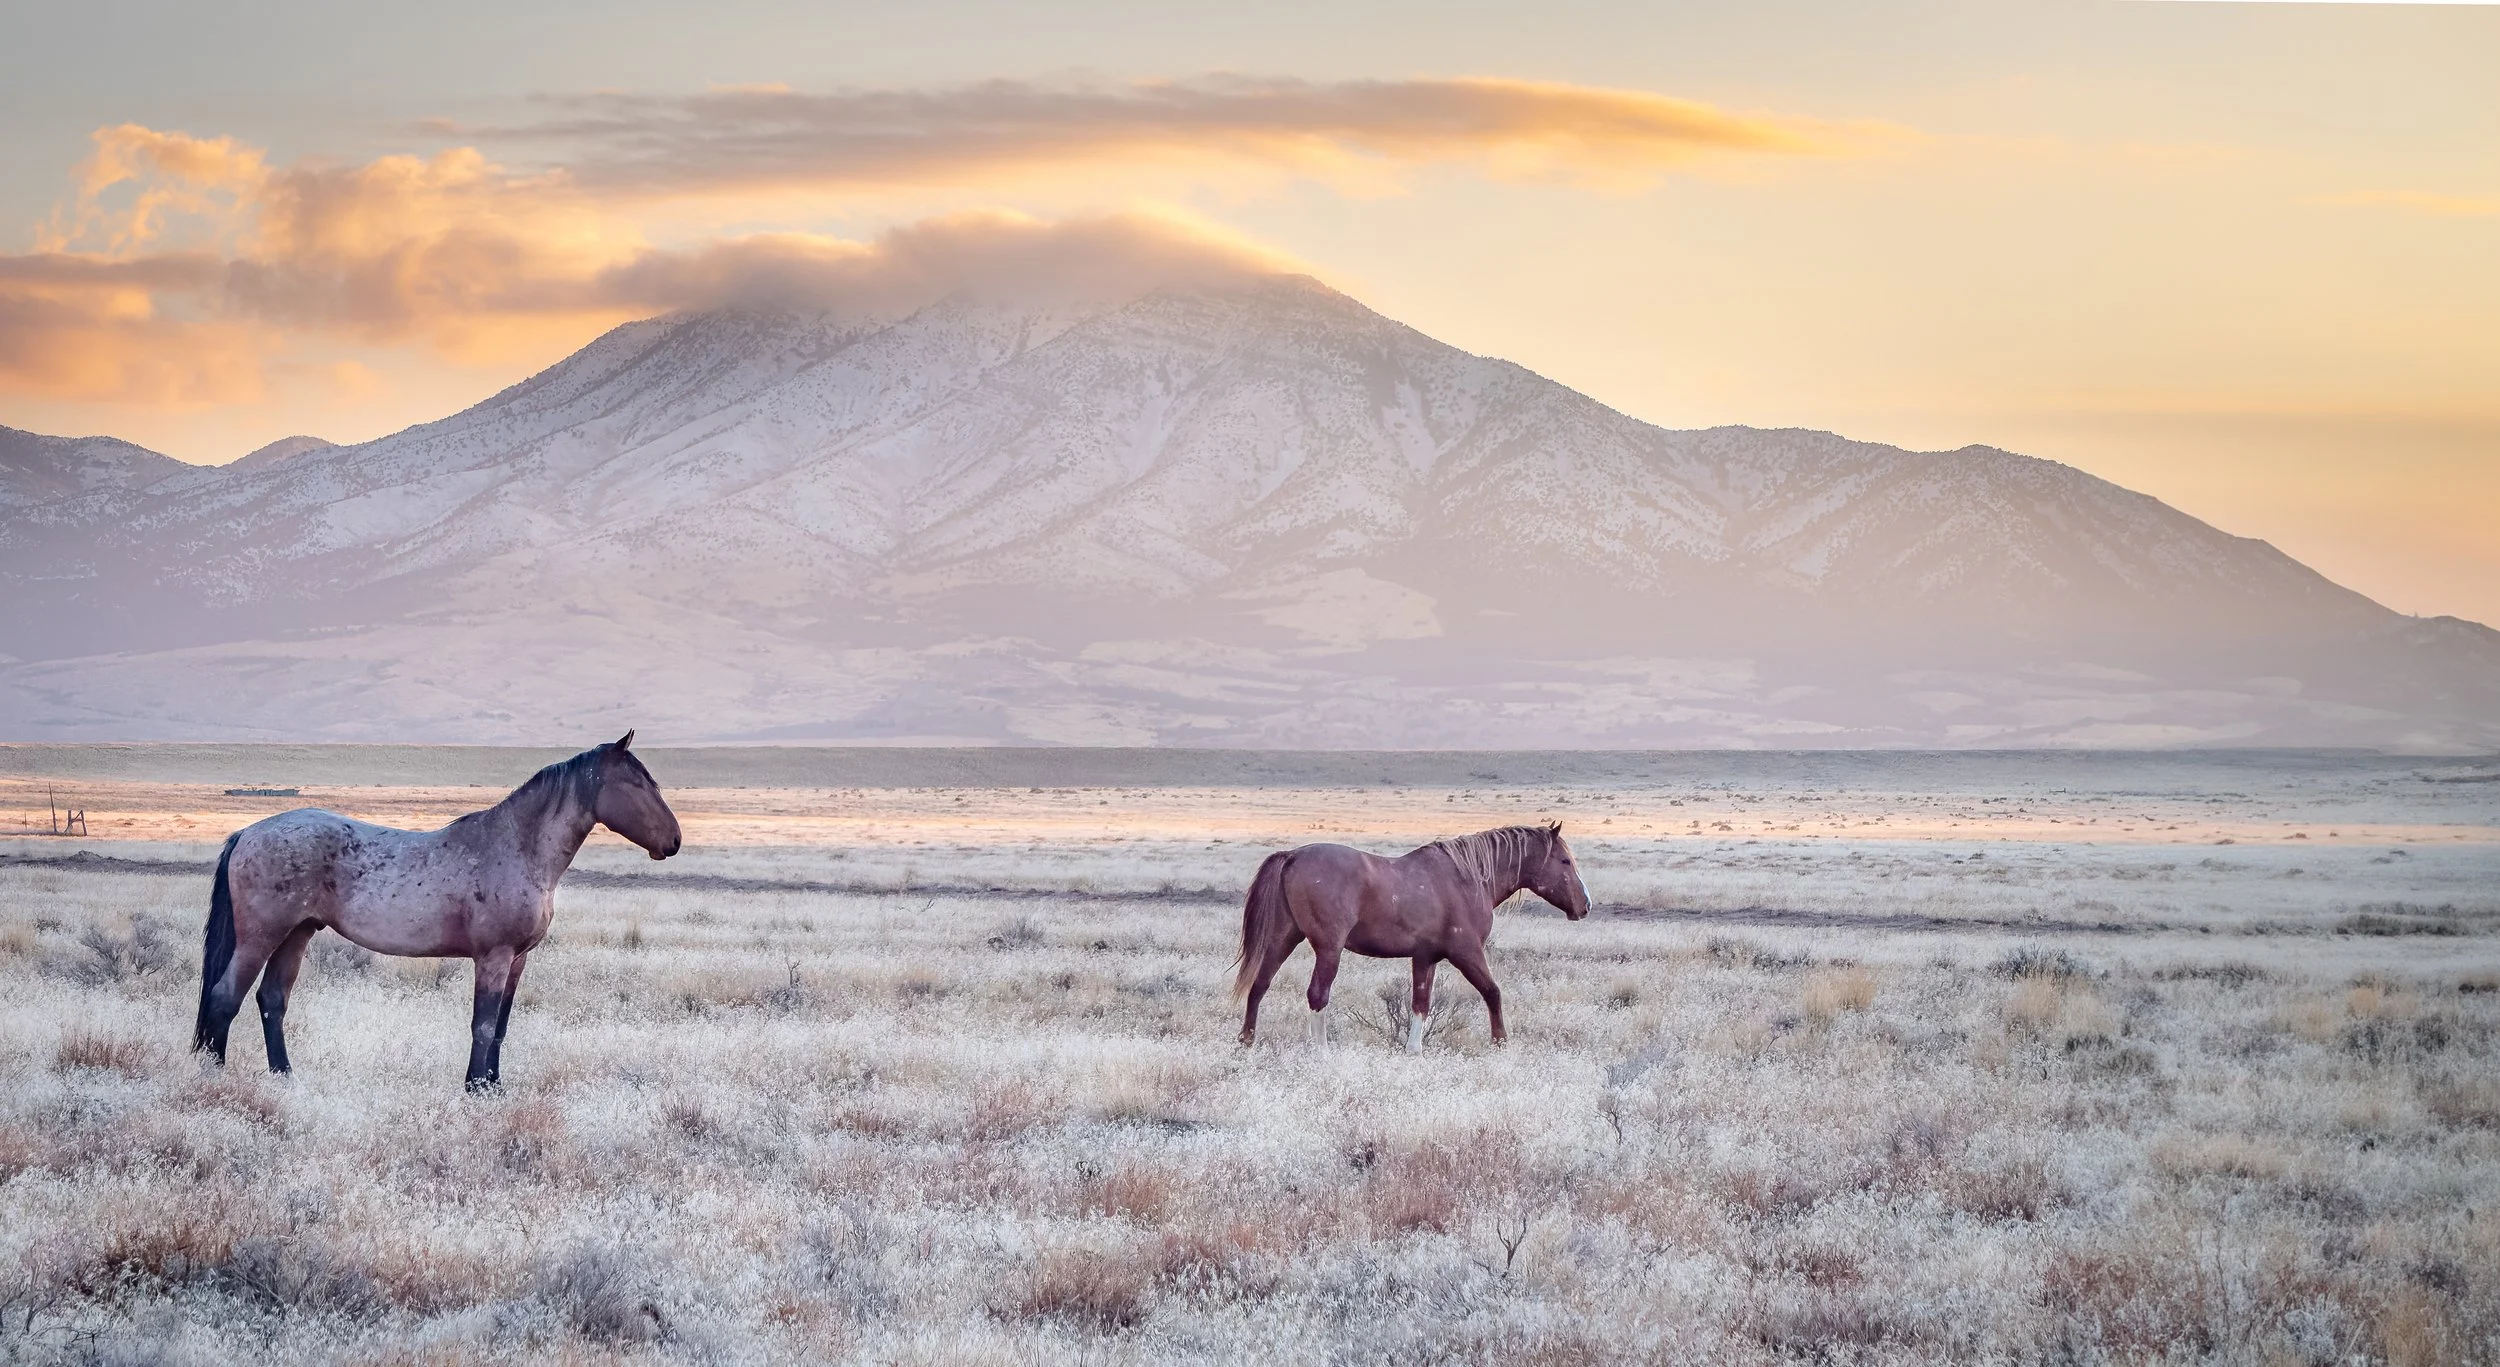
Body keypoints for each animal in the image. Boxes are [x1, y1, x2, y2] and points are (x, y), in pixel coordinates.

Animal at [192, 732, 681, 1090]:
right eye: (638, 783)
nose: (674, 841)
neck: (518, 847)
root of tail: (248, 832)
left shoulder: (518, 960)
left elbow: (500, 1026)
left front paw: (493, 1086)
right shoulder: (494, 957)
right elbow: (483, 1024)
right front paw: (475, 1089)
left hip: (297, 933)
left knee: (272, 1000)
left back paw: (286, 1077)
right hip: (261, 936)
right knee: (225, 996)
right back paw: (213, 1077)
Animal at [1230, 822, 1588, 1049]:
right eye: (1564, 861)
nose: (1585, 905)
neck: (1469, 878)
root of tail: (1292, 855)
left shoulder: (1425, 958)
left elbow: (1420, 1004)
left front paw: (1413, 1050)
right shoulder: (1467, 953)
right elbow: (1492, 992)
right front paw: (1500, 1042)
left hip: (1282, 939)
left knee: (1259, 986)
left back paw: (1246, 1041)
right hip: (1328, 949)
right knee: (1317, 995)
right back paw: (1321, 1051)